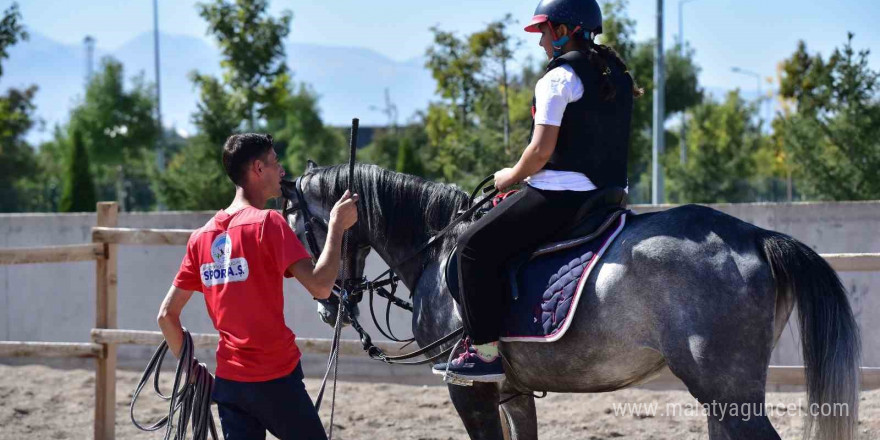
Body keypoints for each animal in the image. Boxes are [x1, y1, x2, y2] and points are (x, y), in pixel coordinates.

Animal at [282, 162, 860, 440]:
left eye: (297, 224)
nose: (327, 305)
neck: (438, 247)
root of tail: (757, 236)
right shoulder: (511, 391)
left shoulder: (469, 391)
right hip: (723, 397)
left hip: (727, 394)